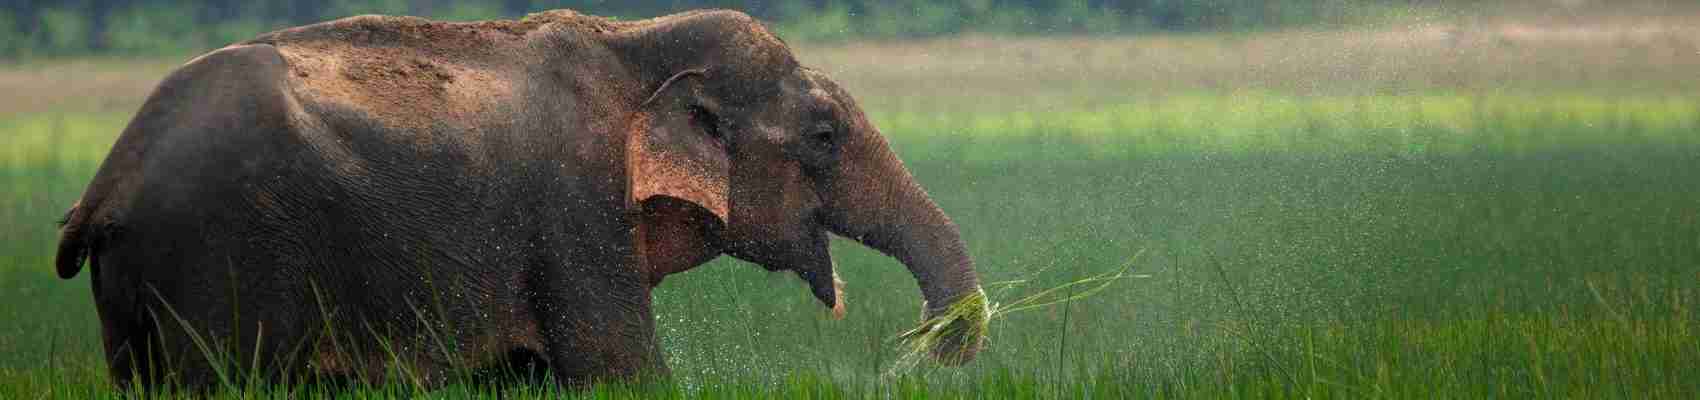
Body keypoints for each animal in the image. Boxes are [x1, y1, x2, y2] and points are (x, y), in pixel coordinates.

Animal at [51, 9, 985, 390]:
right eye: (825, 136)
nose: (930, 344)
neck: (631, 41)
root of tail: (107, 182)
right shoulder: (576, 208)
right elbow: (619, 368)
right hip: (215, 259)